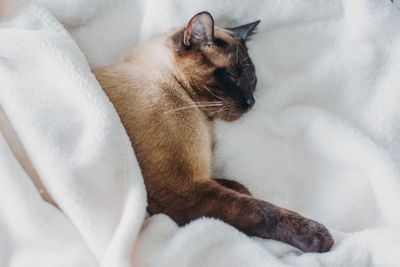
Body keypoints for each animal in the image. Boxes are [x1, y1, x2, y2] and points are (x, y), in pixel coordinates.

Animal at [94, 11, 334, 253]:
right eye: (233, 77)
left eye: (252, 80)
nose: (251, 102)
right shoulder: (182, 189)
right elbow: (259, 210)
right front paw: (319, 236)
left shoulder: (198, 180)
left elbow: (238, 187)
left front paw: (240, 188)